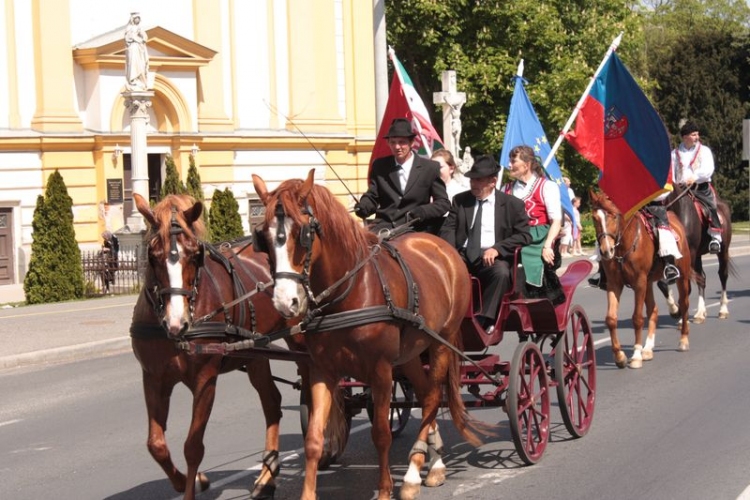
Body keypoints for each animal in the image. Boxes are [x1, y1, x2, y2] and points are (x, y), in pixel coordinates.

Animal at [129, 193, 294, 500]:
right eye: (153, 256)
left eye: (195, 254)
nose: (177, 322)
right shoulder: (154, 378)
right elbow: (156, 444)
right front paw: (189, 481)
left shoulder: (205, 380)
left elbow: (193, 447)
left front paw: (192, 485)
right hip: (255, 353)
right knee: (272, 402)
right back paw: (267, 476)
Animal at [253, 171, 488, 500]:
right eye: (262, 236)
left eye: (303, 233)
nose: (285, 302)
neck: (347, 294)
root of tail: (441, 246)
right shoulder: (323, 371)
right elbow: (313, 439)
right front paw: (308, 492)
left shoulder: (380, 371)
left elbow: (381, 434)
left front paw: (386, 489)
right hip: (410, 354)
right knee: (426, 393)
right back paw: (434, 464)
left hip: (441, 342)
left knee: (432, 398)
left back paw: (413, 474)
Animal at [592, 190, 692, 368]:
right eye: (594, 218)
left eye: (612, 216)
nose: (606, 250)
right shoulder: (614, 284)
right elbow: (611, 319)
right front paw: (619, 356)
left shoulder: (639, 282)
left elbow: (637, 318)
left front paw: (636, 355)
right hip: (649, 283)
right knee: (654, 310)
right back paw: (648, 349)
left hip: (682, 276)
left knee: (684, 304)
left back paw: (683, 340)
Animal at [660, 183, 736, 320]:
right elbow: (664, 283)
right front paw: (676, 311)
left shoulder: (690, 252)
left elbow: (686, 287)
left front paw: (679, 314)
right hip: (698, 257)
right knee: (702, 278)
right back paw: (700, 312)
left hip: (723, 251)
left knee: (723, 275)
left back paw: (723, 309)